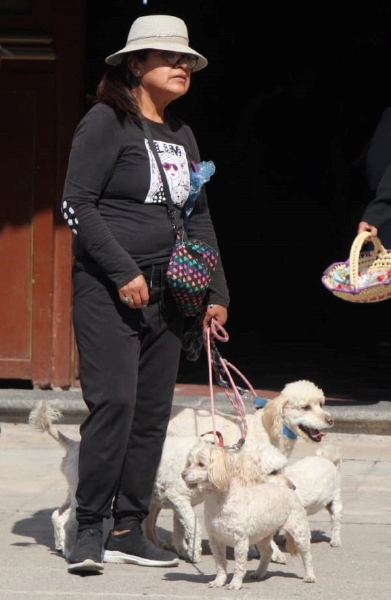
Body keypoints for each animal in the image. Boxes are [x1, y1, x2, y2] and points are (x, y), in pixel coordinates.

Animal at [182, 438, 316, 588]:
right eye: (189, 462)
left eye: (201, 464)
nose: (183, 474)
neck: (221, 500)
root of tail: (288, 490)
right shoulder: (215, 540)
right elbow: (220, 564)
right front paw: (219, 581)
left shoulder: (240, 540)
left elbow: (239, 565)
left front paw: (235, 584)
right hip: (263, 536)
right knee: (267, 552)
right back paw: (260, 573)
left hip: (299, 532)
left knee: (307, 556)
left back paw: (310, 576)